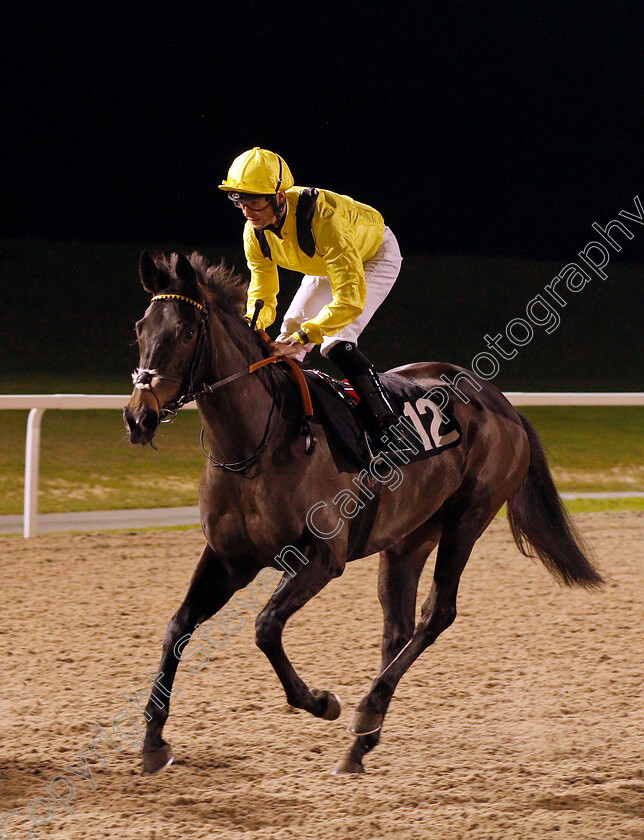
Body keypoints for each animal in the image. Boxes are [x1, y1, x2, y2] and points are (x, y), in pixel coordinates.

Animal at [126, 249, 604, 776]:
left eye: (186, 331)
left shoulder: (320, 558)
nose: (138, 416)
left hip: (468, 518)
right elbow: (177, 627)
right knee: (397, 628)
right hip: (410, 536)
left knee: (437, 613)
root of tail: (504, 405)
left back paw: (365, 712)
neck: (256, 447)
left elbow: (265, 627)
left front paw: (321, 701)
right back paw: (361, 744)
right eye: (141, 328)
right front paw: (153, 740)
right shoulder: (228, 559)